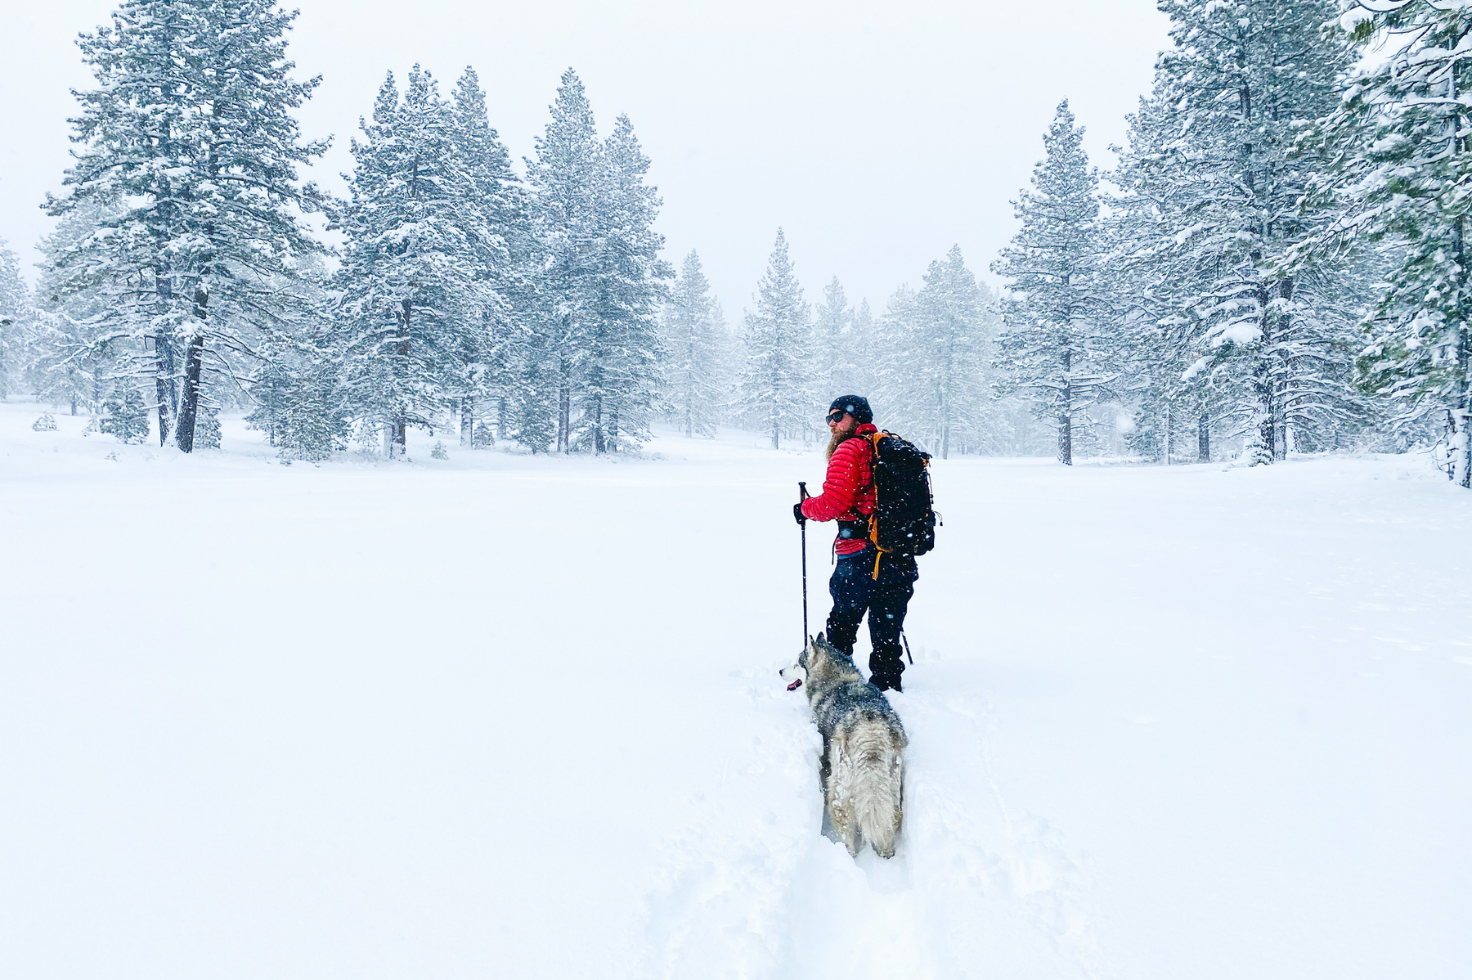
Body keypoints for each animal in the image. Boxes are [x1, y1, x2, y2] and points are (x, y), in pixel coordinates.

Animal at [783, 632, 906, 853]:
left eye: (796, 664)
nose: (780, 671)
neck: (836, 678)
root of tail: (869, 728)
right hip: (891, 784)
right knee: (890, 817)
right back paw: (886, 852)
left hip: (841, 788)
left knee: (844, 822)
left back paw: (846, 853)